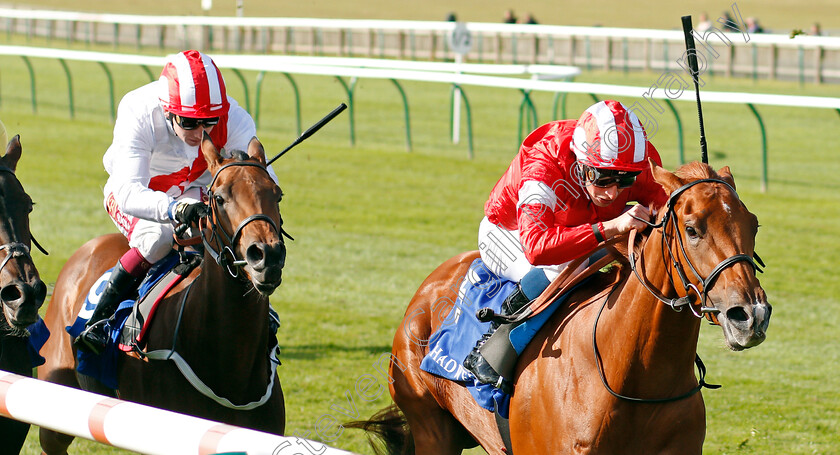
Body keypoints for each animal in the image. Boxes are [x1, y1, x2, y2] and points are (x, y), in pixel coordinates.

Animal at [352, 162, 772, 454]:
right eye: (692, 228)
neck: (631, 375)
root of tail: (430, 287)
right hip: (431, 426)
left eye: (753, 224)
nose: (750, 316)